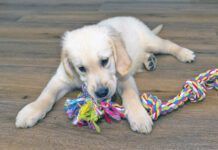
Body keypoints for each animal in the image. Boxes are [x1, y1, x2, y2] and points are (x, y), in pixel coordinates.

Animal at [16, 16, 195, 134]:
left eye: (105, 61)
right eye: (81, 68)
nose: (102, 93)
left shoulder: (124, 77)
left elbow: (130, 95)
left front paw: (139, 117)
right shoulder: (61, 78)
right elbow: (47, 94)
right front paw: (31, 111)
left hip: (151, 41)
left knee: (167, 45)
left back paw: (185, 53)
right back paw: (149, 60)